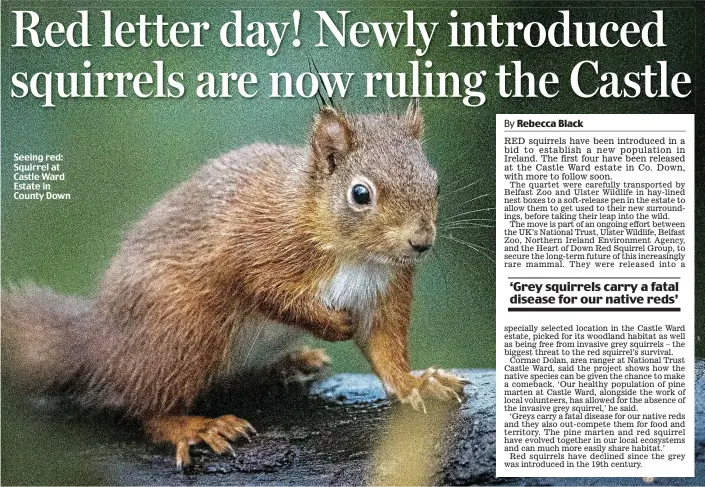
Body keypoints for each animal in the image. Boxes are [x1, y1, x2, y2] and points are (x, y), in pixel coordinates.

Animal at [5, 104, 470, 468]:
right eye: (360, 194)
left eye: (435, 183)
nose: (421, 242)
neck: (355, 254)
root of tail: (100, 345)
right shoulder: (252, 249)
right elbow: (267, 291)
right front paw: (331, 325)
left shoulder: (388, 288)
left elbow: (385, 348)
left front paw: (415, 383)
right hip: (184, 333)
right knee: (145, 407)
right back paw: (192, 426)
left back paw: (289, 363)